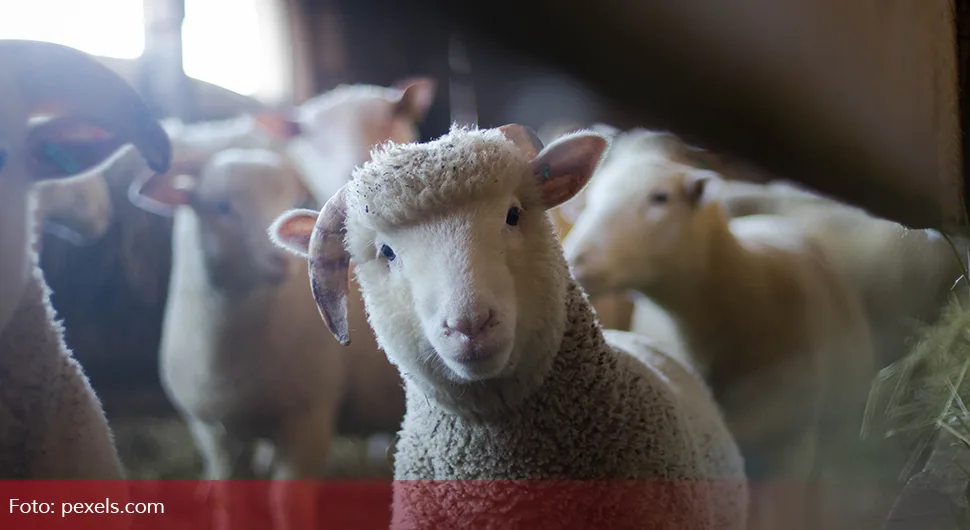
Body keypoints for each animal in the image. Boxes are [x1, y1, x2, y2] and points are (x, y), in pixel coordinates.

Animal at [126, 146, 402, 528]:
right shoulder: (212, 430)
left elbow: (286, 500)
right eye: (222, 206)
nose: (280, 260)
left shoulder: (310, 416)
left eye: (290, 199)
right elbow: (230, 495)